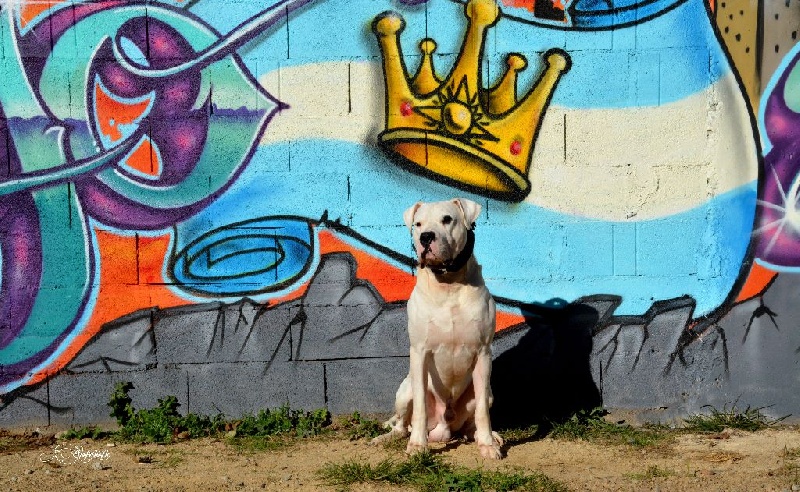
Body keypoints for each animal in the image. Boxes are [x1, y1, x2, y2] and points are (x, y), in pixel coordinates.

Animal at [372, 198, 503, 459]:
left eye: (447, 219)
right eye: (418, 224)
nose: (426, 237)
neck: (448, 284)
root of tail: (444, 426)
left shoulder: (483, 352)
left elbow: (482, 411)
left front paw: (487, 445)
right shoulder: (420, 352)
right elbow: (421, 406)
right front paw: (417, 446)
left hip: (488, 393)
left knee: (473, 419)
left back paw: (486, 436)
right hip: (405, 390)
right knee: (402, 425)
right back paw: (388, 437)